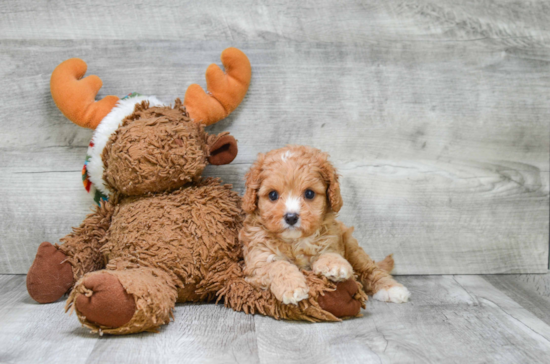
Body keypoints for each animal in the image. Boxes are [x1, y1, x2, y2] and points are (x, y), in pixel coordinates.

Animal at [239, 146, 412, 306]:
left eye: (309, 193)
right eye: (273, 195)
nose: (291, 217)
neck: (295, 242)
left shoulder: (331, 241)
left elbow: (329, 253)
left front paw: (335, 265)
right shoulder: (256, 262)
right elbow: (277, 265)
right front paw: (292, 286)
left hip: (353, 248)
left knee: (371, 269)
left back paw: (391, 288)